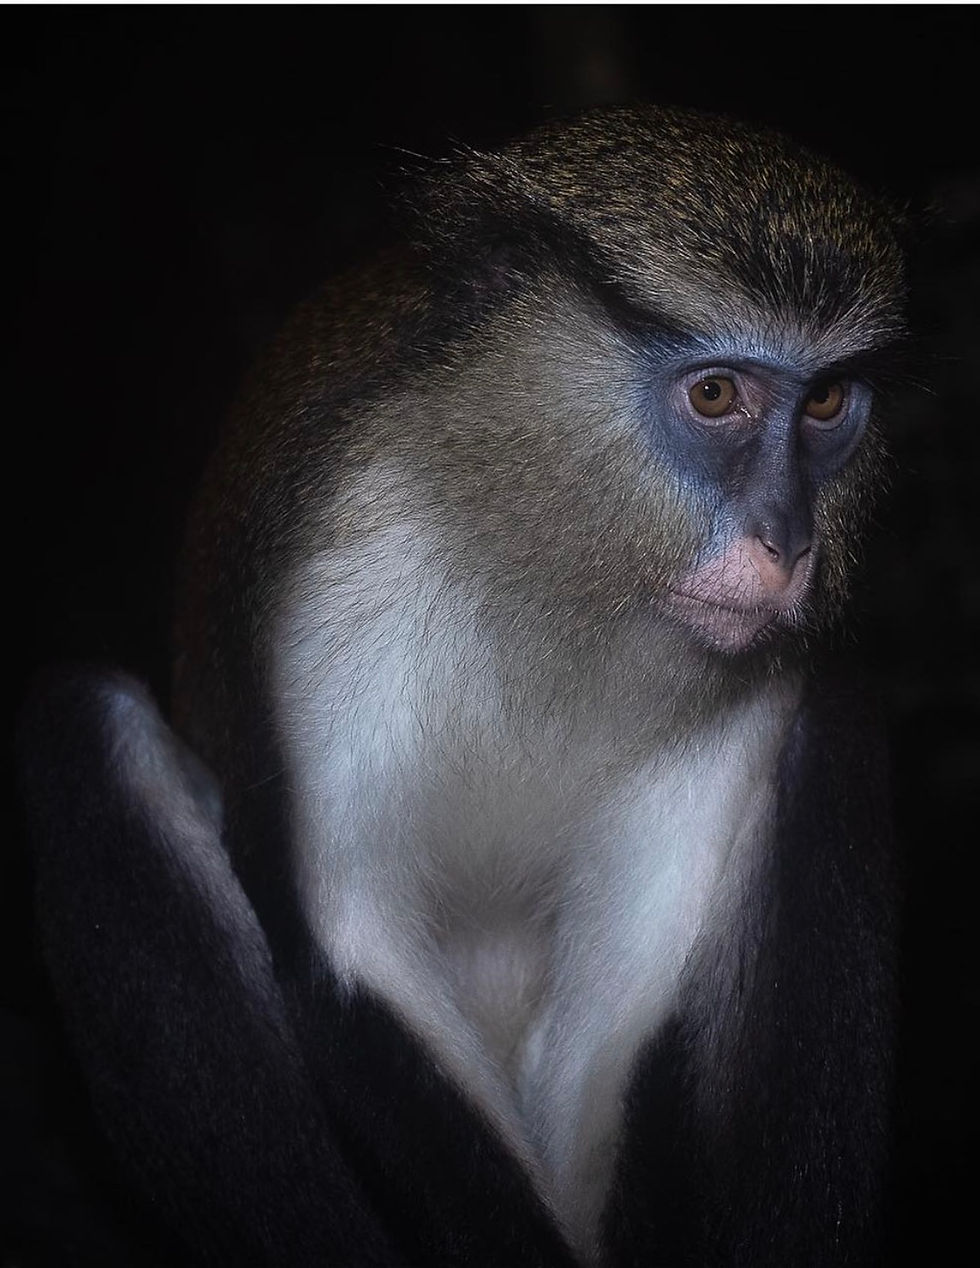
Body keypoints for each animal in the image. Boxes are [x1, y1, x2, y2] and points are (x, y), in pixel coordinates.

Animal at [20, 104, 906, 1267]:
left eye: (828, 402)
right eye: (715, 394)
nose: (787, 543)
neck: (550, 564)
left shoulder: (753, 670)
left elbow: (620, 1012)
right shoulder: (349, 582)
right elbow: (356, 945)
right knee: (85, 731)